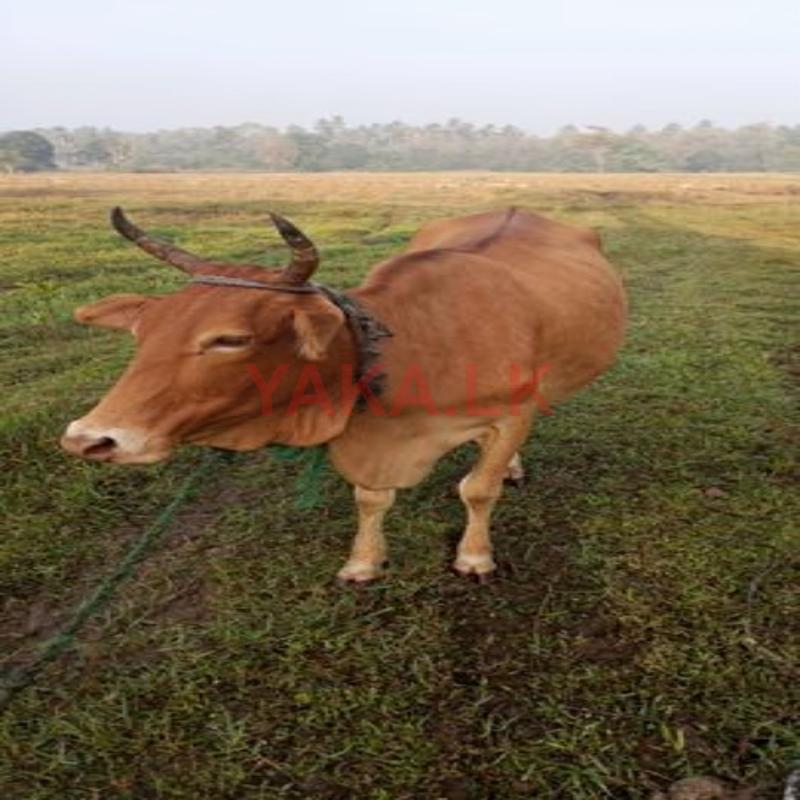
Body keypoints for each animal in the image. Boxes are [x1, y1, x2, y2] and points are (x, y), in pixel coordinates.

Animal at [61, 207, 626, 582]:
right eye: (144, 331)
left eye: (230, 339)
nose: (90, 439)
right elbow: (371, 498)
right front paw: (363, 561)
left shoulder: (512, 414)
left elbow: (478, 489)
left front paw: (474, 556)